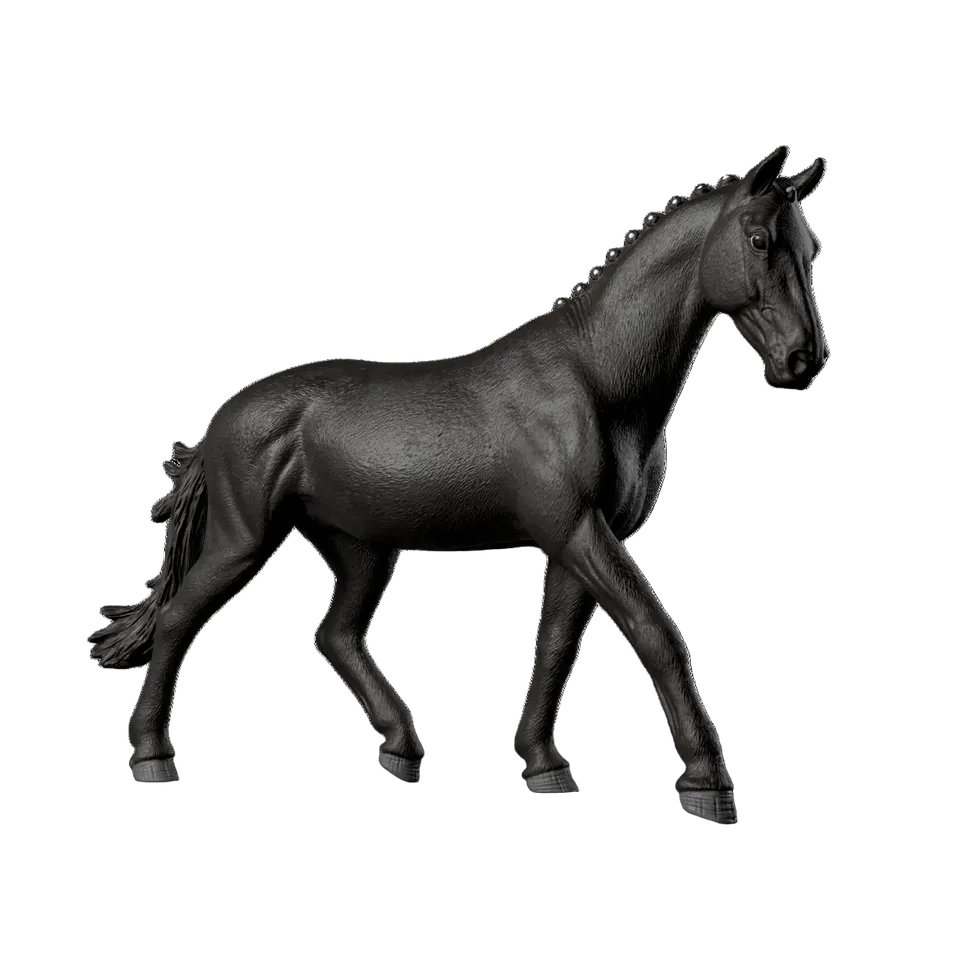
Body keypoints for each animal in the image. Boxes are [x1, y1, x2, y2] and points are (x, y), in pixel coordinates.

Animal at [88, 143, 828, 821]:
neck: (598, 378)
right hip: (244, 540)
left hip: (362, 550)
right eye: (759, 240)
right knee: (181, 617)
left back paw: (401, 746)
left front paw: (543, 765)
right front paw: (706, 781)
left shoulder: (575, 543)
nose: (803, 360)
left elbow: (555, 649)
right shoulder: (575, 531)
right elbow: (656, 633)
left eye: (811, 247)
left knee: (334, 636)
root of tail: (223, 421)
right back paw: (152, 752)